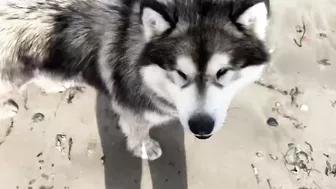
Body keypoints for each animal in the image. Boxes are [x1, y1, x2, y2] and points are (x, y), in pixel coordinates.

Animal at [0, 0, 270, 159]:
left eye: (223, 72)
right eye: (180, 73)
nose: (201, 127)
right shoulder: (132, 106)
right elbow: (138, 129)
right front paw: (143, 146)